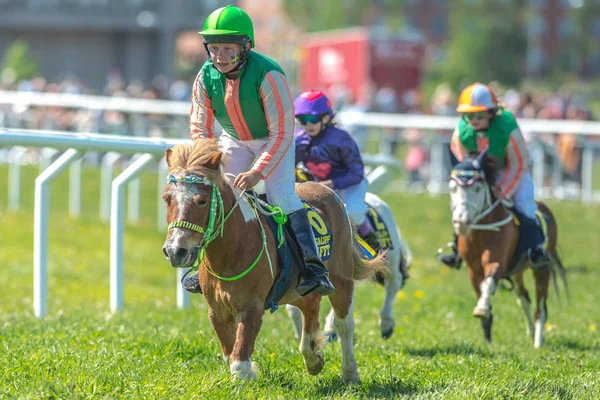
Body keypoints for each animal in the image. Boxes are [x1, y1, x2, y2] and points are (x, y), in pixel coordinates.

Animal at [162, 140, 386, 382]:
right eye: (167, 199)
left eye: (202, 201)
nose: (175, 250)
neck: (232, 250)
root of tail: (329, 192)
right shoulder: (217, 311)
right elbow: (230, 353)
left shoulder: (252, 307)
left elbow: (239, 361)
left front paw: (245, 377)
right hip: (296, 289)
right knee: (311, 305)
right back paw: (313, 357)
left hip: (341, 278)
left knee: (344, 324)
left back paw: (350, 372)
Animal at [450, 150, 568, 346]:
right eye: (453, 188)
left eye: (477, 188)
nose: (461, 221)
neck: (482, 230)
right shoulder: (473, 269)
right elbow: (480, 289)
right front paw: (487, 337)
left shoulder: (496, 261)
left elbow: (488, 283)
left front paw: (482, 309)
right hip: (517, 271)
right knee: (524, 297)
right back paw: (530, 332)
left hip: (541, 268)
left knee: (540, 305)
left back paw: (538, 341)